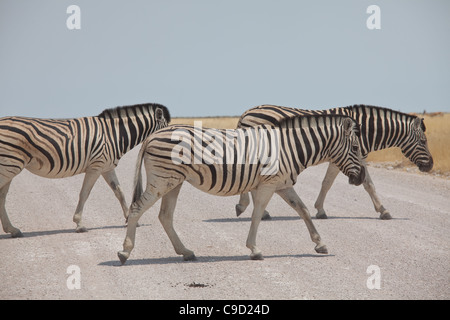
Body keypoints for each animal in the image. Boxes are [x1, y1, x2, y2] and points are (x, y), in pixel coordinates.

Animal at [0, 101, 171, 236]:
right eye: (167, 129)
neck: (115, 134)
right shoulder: (96, 166)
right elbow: (84, 194)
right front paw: (79, 224)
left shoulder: (107, 167)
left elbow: (119, 192)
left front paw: (130, 219)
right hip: (10, 165)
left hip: (10, 166)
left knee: (2, 195)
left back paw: (12, 230)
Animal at [117, 114, 366, 264]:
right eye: (355, 148)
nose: (362, 178)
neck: (289, 148)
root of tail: (151, 136)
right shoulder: (268, 184)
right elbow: (257, 214)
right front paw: (254, 249)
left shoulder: (283, 184)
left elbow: (303, 210)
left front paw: (320, 244)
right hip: (162, 179)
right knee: (137, 208)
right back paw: (125, 252)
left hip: (173, 181)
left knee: (165, 216)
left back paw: (186, 252)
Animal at [236, 104, 432, 220]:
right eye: (423, 141)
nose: (430, 165)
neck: (365, 129)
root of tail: (246, 112)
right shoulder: (347, 156)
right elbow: (336, 183)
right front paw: (383, 210)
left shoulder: (350, 158)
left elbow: (359, 184)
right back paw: (259, 211)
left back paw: (250, 208)